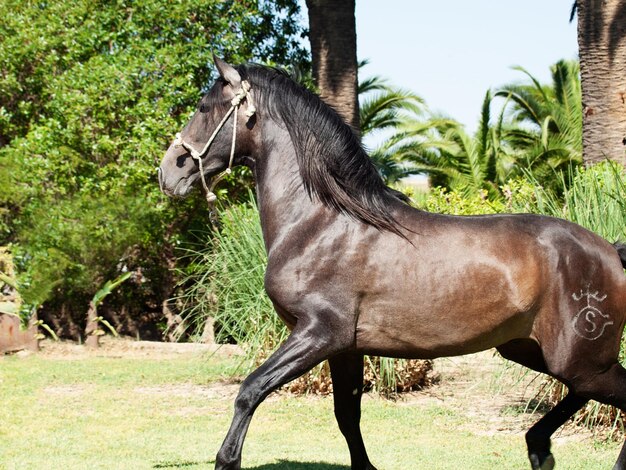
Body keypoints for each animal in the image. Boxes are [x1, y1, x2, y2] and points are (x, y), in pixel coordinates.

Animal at [157, 56, 626, 470]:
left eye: (204, 108)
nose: (169, 172)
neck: (321, 223)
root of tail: (609, 249)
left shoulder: (318, 333)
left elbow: (250, 389)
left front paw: (226, 459)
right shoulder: (344, 347)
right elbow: (347, 417)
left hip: (580, 359)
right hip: (531, 350)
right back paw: (537, 446)